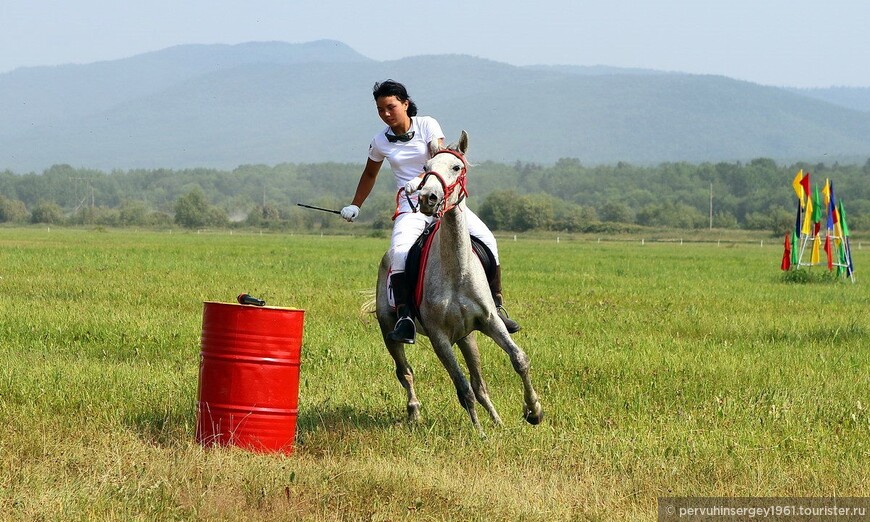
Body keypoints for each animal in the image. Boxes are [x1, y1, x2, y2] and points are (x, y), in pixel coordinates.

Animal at [376, 130, 544, 434]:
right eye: (426, 168)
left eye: (456, 167)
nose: (428, 198)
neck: (457, 272)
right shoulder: (440, 339)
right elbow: (462, 388)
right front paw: (480, 434)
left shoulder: (490, 322)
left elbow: (519, 359)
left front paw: (533, 411)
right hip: (388, 330)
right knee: (406, 373)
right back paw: (415, 413)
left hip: (468, 338)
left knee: (480, 384)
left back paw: (498, 421)